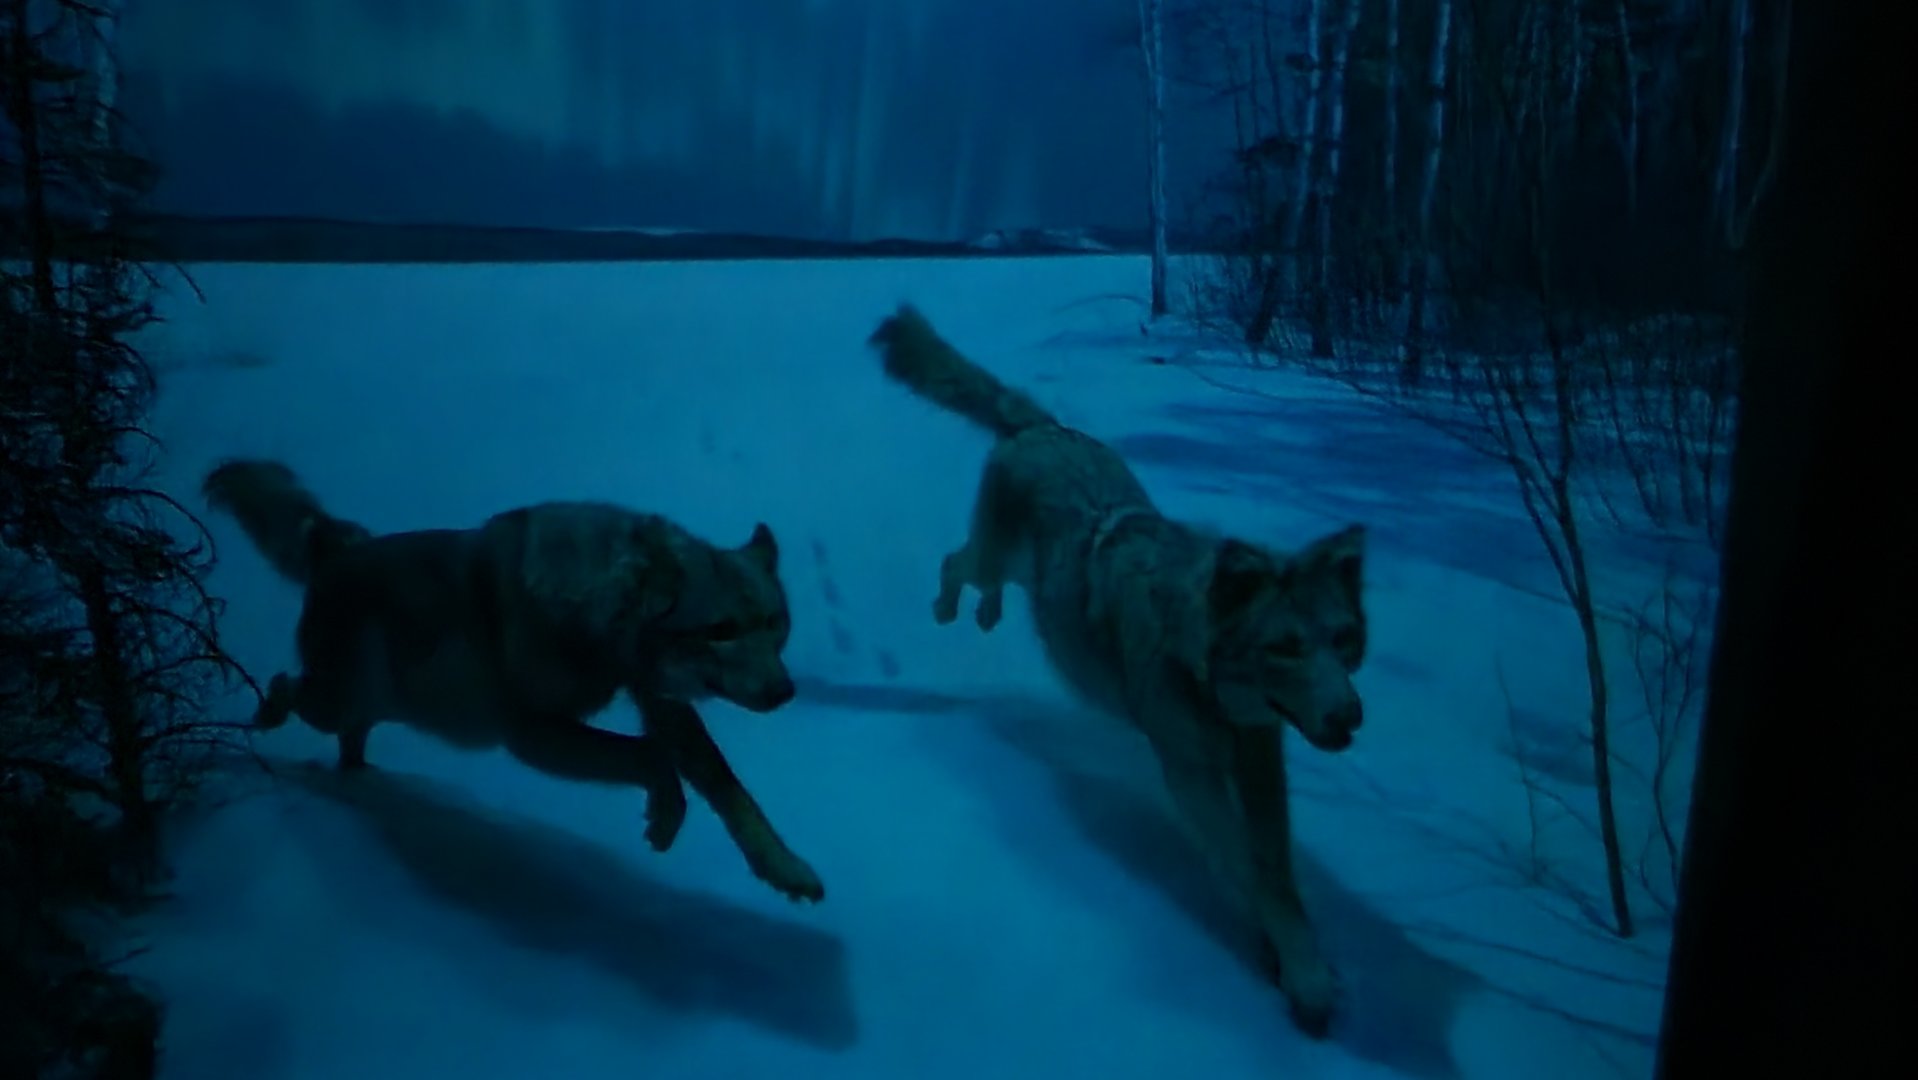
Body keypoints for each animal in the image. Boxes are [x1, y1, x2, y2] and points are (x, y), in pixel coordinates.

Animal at [202, 459, 823, 903]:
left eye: (774, 623)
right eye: (721, 630)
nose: (785, 693)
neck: (598, 607)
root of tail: (337, 543)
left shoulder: (659, 703)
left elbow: (729, 789)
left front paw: (786, 870)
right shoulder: (531, 734)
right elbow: (649, 758)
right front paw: (665, 817)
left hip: (374, 704)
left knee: (349, 737)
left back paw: (363, 780)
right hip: (337, 698)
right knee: (288, 685)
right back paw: (268, 716)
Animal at [869, 306, 1368, 1036]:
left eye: (1343, 640)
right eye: (1285, 647)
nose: (1350, 716)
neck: (1203, 674)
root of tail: (1046, 428)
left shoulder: (1260, 764)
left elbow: (1275, 872)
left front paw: (1302, 961)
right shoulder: (1190, 775)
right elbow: (1248, 869)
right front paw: (1297, 975)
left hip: (1028, 576)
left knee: (982, 577)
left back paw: (986, 614)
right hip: (998, 556)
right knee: (955, 561)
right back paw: (949, 607)